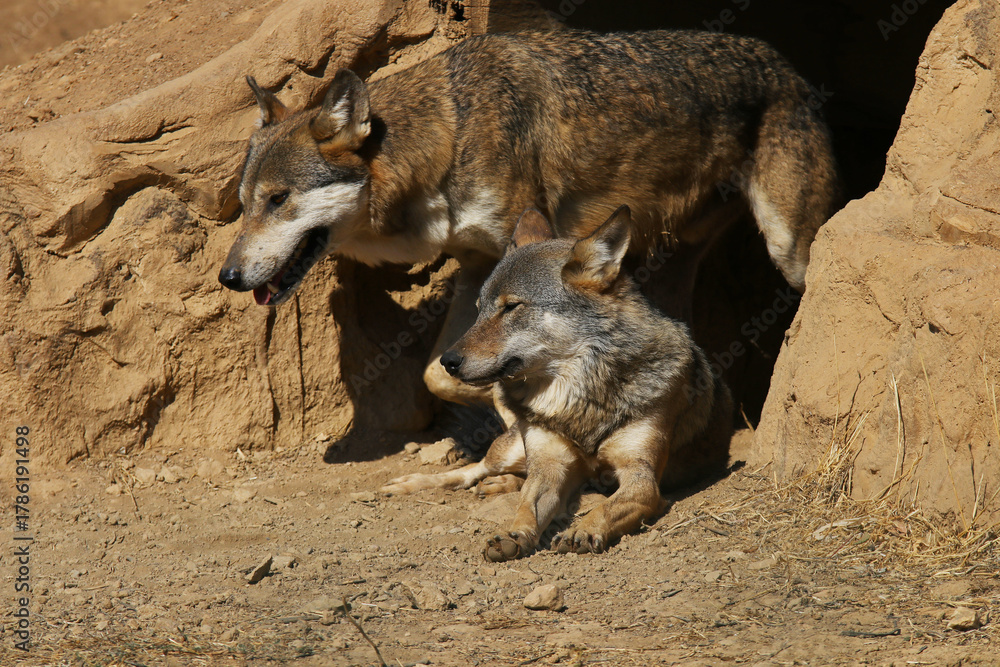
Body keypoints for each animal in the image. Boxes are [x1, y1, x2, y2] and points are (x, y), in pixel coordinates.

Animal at [218, 28, 840, 411]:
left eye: (278, 199)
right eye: (245, 204)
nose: (227, 277)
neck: (452, 135)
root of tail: (786, 64)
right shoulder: (476, 268)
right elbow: (437, 374)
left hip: (788, 247)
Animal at [391, 206, 733, 560]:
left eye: (511, 306)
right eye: (479, 310)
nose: (447, 361)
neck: (577, 399)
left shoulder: (642, 479)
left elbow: (606, 507)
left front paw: (582, 531)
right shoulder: (550, 466)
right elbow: (526, 507)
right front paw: (513, 534)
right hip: (511, 449)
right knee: (476, 469)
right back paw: (412, 483)